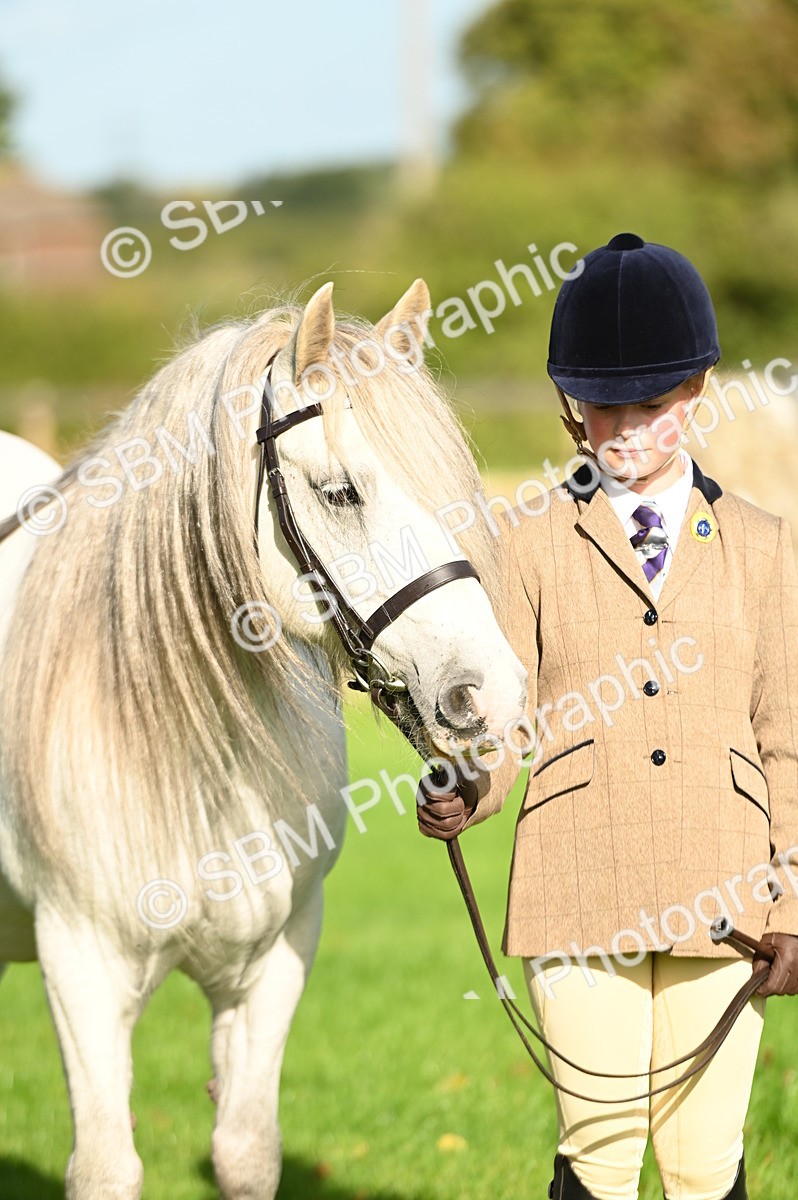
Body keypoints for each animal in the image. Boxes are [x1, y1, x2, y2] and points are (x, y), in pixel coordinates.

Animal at [0, 278, 527, 1200]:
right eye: (341, 492)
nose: (489, 694)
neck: (185, 751)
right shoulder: (81, 969)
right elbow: (105, 1167)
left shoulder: (274, 963)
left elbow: (245, 1151)